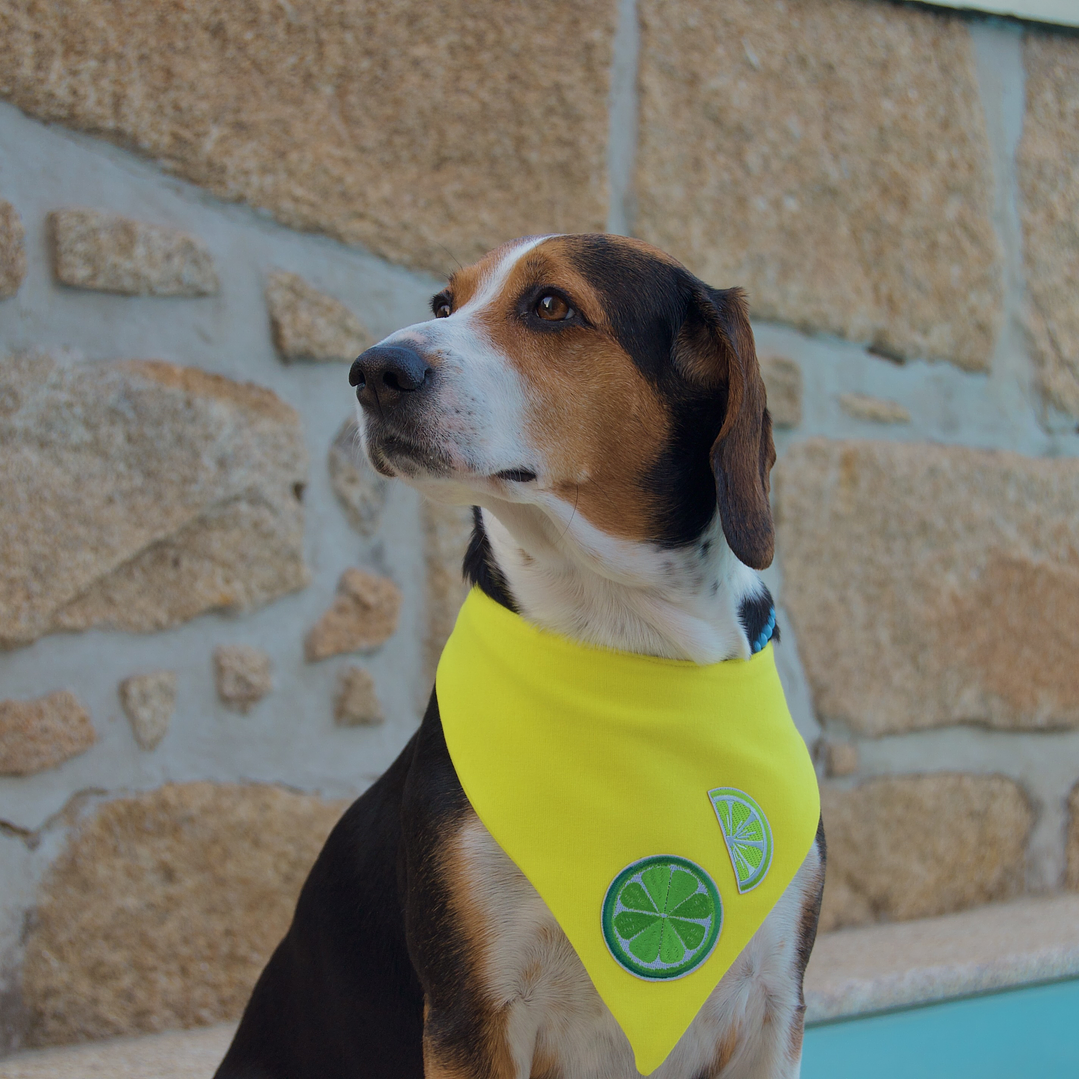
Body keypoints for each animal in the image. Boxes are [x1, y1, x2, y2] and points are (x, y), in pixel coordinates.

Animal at [216, 234, 825, 1079]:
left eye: (550, 306)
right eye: (444, 303)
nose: (374, 369)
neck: (624, 644)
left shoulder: (772, 1005)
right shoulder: (475, 1009)